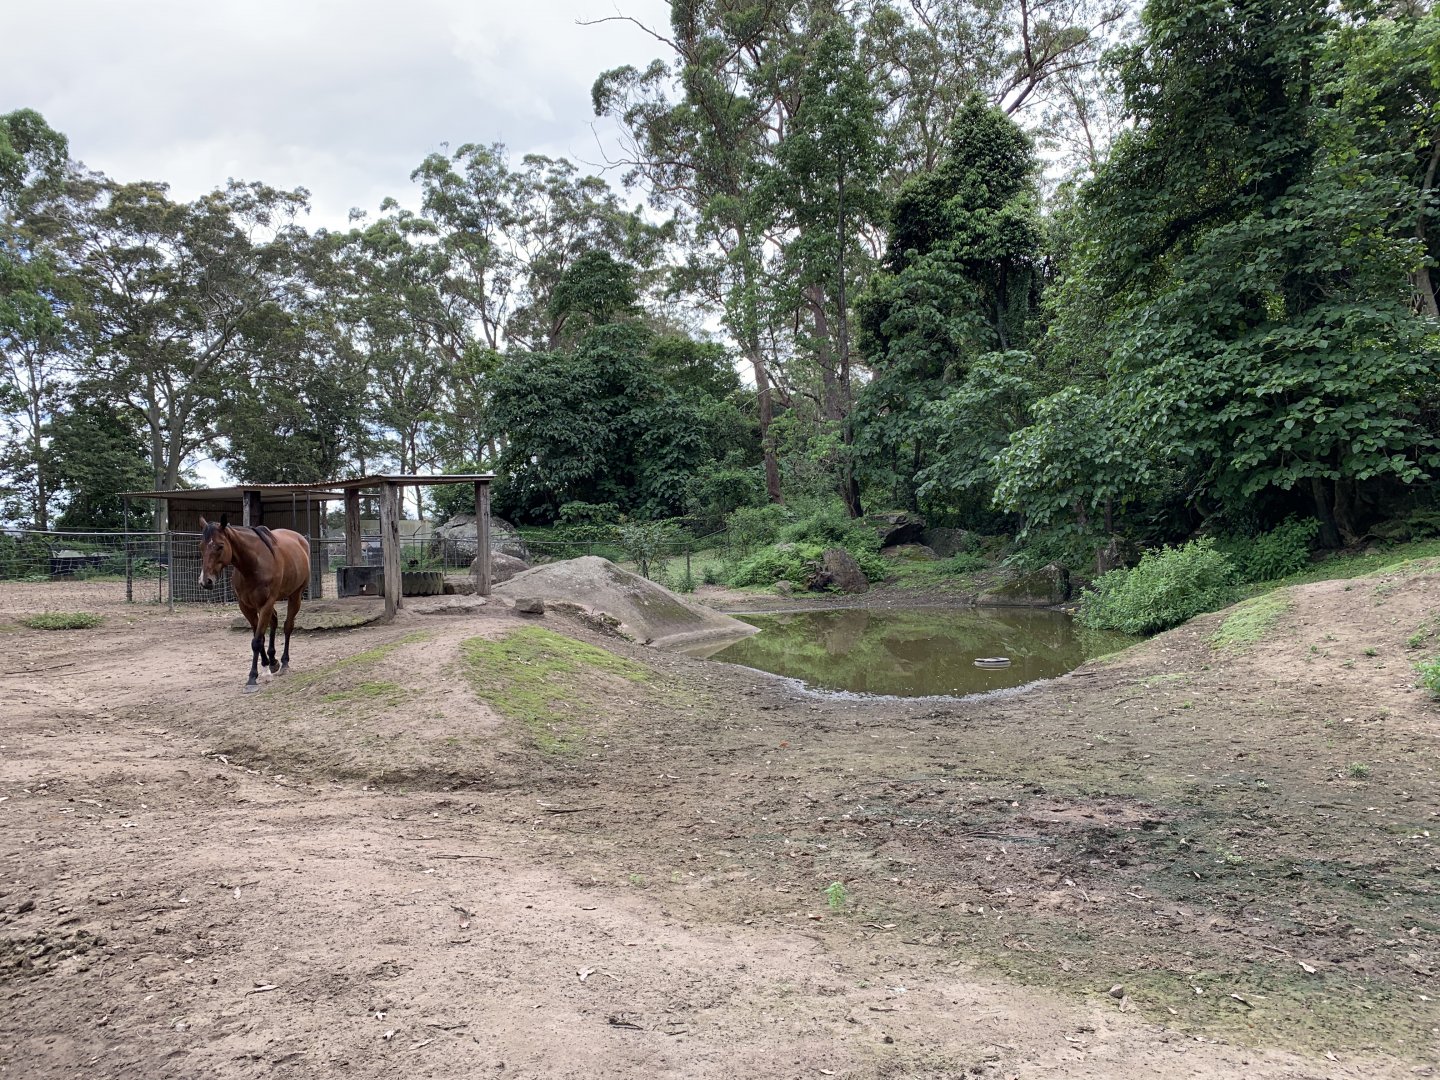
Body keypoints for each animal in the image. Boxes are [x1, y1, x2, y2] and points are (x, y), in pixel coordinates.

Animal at [197, 516, 312, 693]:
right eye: (201, 546)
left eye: (220, 546)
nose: (205, 581)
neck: (253, 565)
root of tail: (300, 539)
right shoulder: (246, 606)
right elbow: (259, 637)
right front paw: (266, 666)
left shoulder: (266, 604)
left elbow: (257, 641)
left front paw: (252, 678)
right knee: (274, 622)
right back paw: (273, 661)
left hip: (295, 596)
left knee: (288, 626)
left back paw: (284, 663)